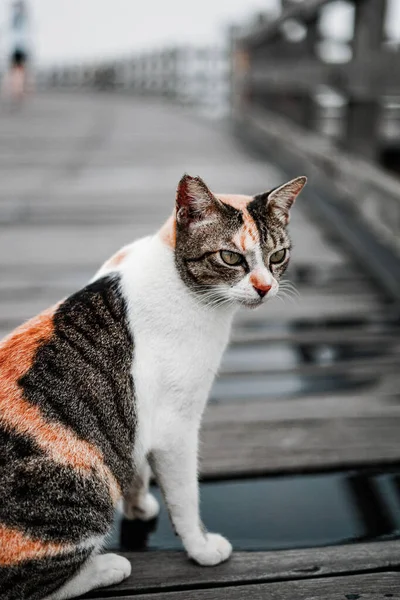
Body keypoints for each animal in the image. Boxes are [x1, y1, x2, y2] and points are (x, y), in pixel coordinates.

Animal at [0, 171, 306, 596]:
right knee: (31, 585)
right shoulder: (176, 426)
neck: (176, 276)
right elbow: (185, 497)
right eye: (230, 257)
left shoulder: (138, 415)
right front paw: (202, 549)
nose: (265, 287)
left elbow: (136, 465)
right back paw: (107, 567)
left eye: (278, 256)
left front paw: (138, 504)